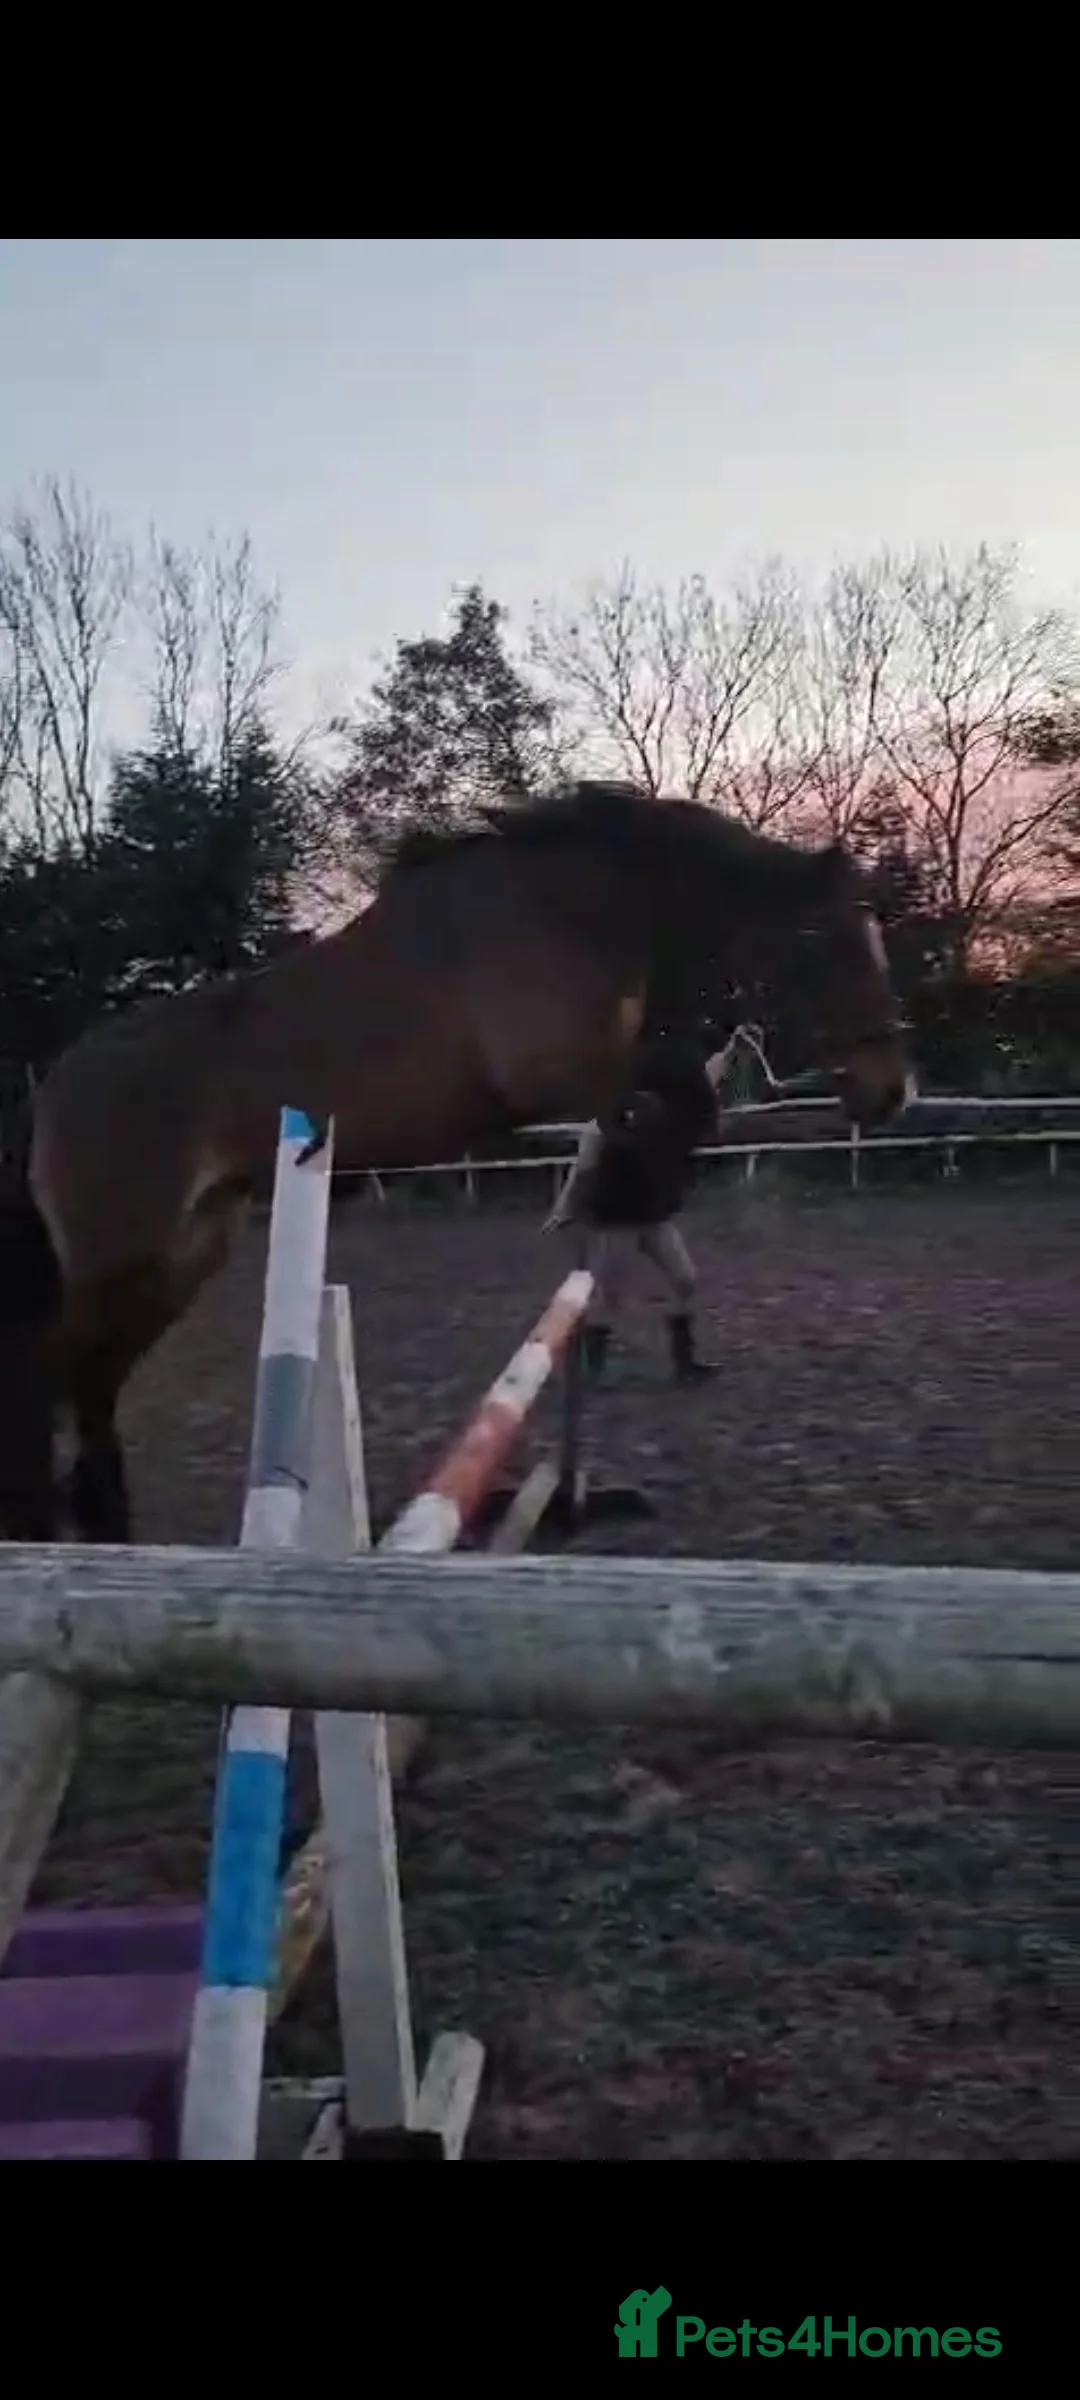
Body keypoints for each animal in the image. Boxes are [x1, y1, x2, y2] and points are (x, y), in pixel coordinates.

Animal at [0, 780, 913, 1547]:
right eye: (830, 943)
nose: (889, 1091)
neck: (573, 911)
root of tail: (56, 1086)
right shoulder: (555, 1073)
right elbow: (682, 1094)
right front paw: (632, 1173)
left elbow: (682, 1098)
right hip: (119, 1258)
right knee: (48, 1377)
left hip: (181, 1256)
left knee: (90, 1384)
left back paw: (108, 1533)